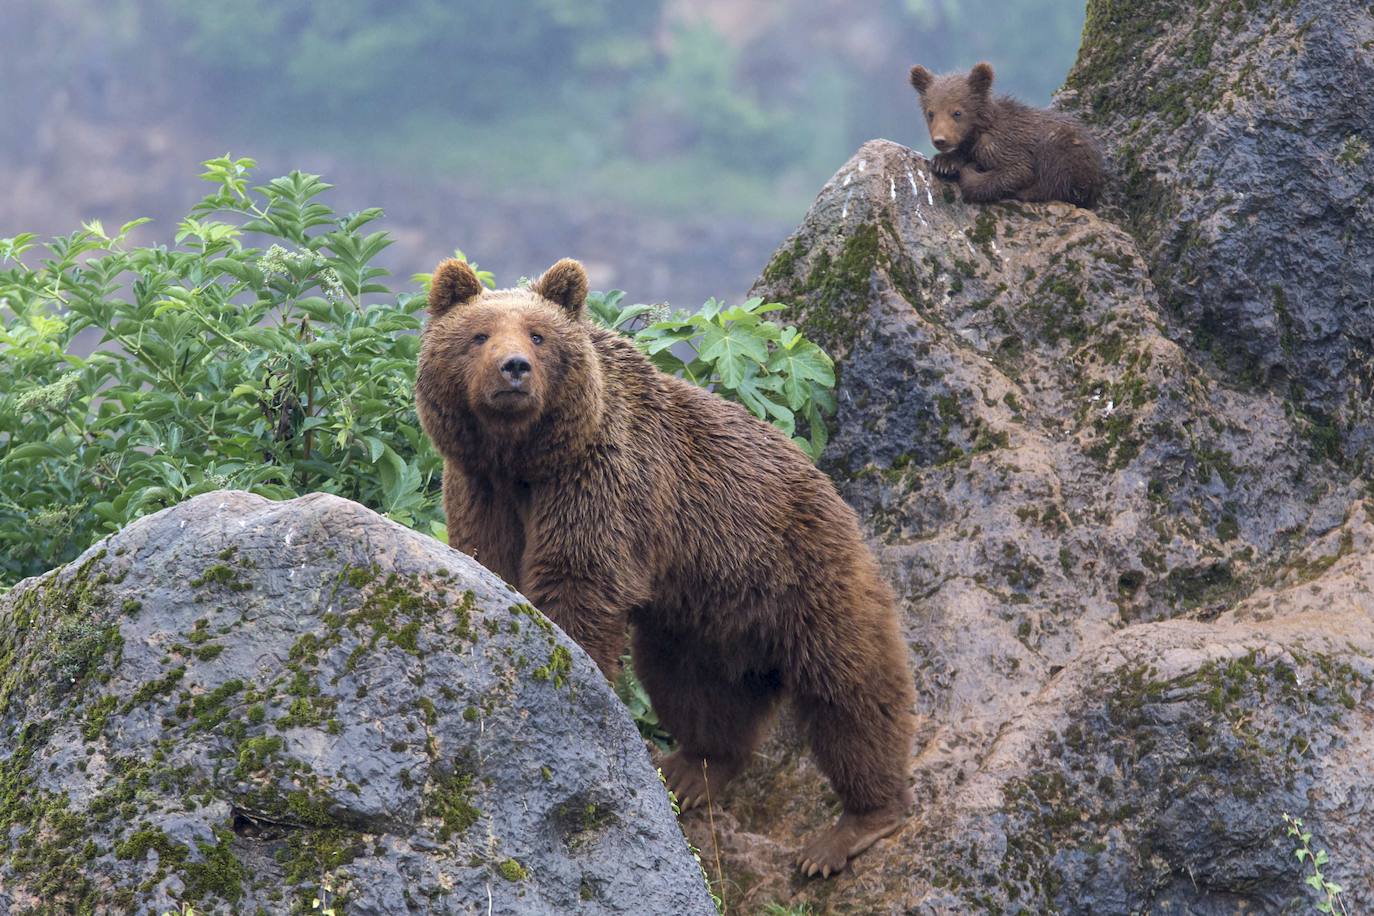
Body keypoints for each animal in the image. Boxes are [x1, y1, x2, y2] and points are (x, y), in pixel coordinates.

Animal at [412, 256, 917, 873]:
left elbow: (578, 582)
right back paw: (693, 770)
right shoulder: (480, 487)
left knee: (851, 690)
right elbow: (491, 562)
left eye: (538, 335)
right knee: (694, 687)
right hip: (706, 612)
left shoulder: (602, 480)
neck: (525, 459)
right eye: (480, 335)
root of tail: (828, 486)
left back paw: (854, 826)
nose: (514, 369)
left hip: (807, 571)